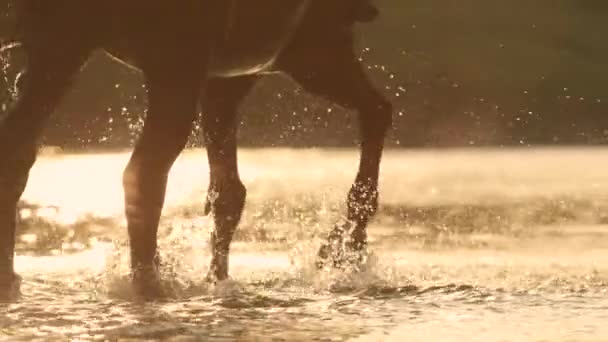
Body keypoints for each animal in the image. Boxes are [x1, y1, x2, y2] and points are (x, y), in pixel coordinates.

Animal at [0, 0, 394, 300]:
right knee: (144, 171)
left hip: (63, 45)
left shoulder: (229, 71)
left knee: (18, 146)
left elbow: (227, 193)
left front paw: (217, 282)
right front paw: (345, 248)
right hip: (172, 58)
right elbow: (378, 112)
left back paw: (11, 279)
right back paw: (150, 284)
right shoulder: (310, 41)